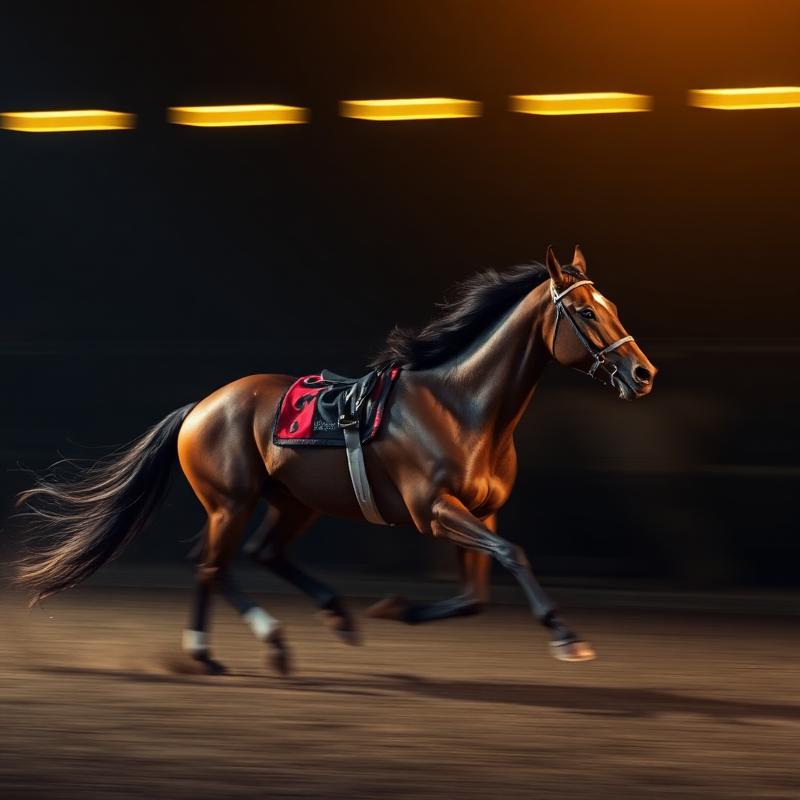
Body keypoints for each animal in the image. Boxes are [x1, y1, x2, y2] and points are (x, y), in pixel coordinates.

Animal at [16, 245, 656, 674]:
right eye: (585, 312)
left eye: (612, 303)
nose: (643, 373)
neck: (463, 406)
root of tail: (201, 405)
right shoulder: (434, 510)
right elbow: (513, 554)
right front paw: (566, 635)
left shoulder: (479, 512)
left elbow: (477, 593)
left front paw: (395, 609)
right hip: (230, 501)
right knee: (212, 563)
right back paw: (236, 645)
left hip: (295, 501)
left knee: (259, 553)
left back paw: (323, 617)